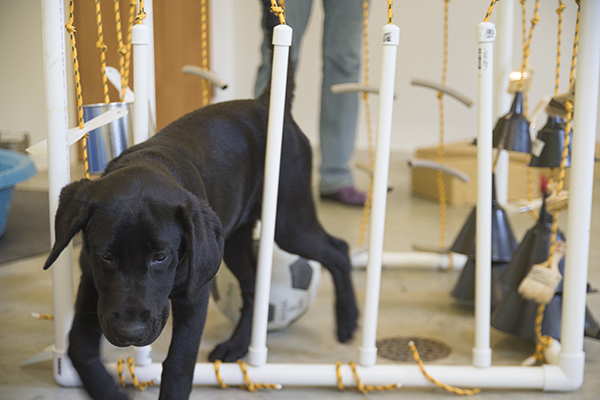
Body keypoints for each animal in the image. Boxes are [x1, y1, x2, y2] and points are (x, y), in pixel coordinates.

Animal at [45, 88, 360, 400]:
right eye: (106, 256)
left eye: (161, 256)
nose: (130, 332)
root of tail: (264, 102)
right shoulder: (91, 281)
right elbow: (78, 344)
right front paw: (107, 390)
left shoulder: (194, 296)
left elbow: (179, 364)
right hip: (232, 243)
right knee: (253, 287)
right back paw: (237, 346)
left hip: (288, 222)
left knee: (339, 250)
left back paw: (348, 320)